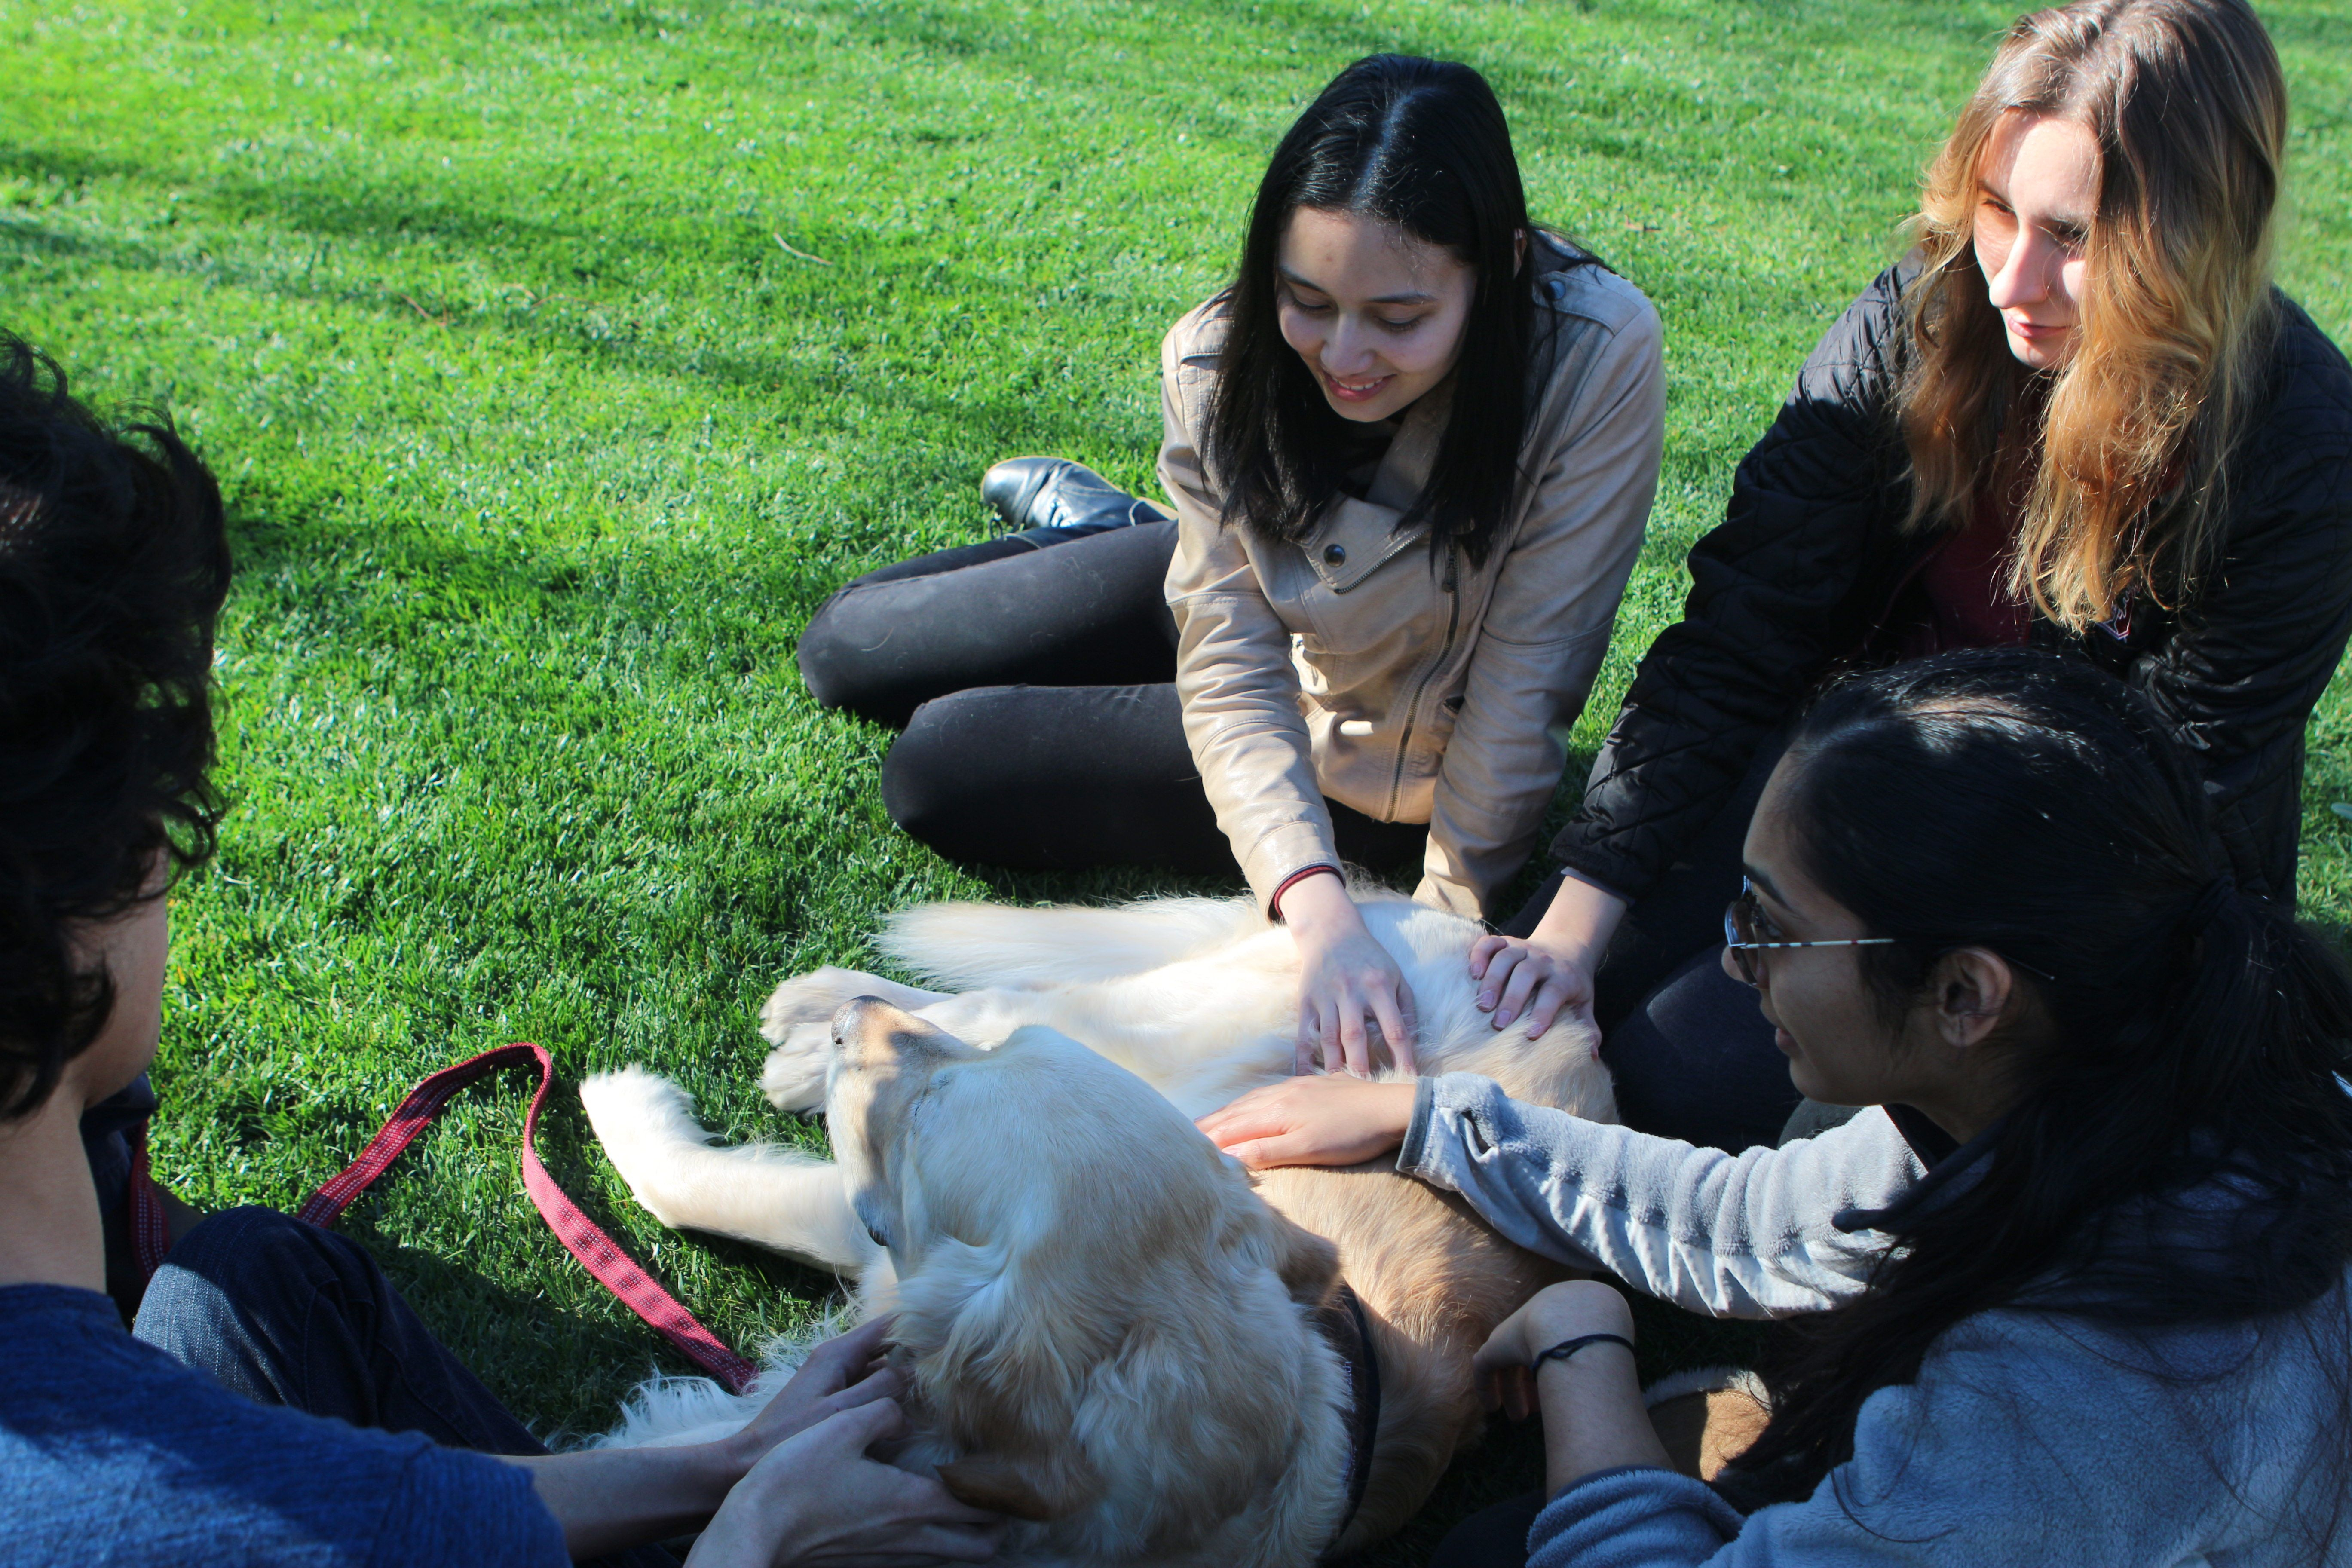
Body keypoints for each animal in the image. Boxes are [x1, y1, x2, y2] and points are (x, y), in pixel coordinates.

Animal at [585, 893, 1618, 1568]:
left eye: (930, 1114)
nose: (854, 1027)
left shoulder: (877, 1235)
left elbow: (687, 1197)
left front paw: (618, 1100)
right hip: (1135, 1026)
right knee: (997, 997)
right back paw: (814, 1010)